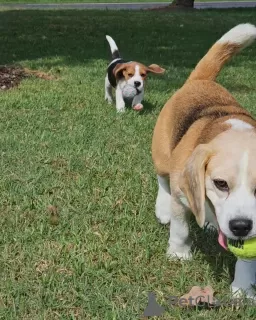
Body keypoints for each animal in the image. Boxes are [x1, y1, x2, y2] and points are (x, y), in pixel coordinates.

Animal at [151, 23, 256, 298]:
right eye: (221, 183)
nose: (241, 226)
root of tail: (202, 80)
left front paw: (243, 289)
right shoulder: (181, 194)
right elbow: (180, 227)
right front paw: (179, 253)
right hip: (162, 155)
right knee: (162, 179)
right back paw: (162, 208)